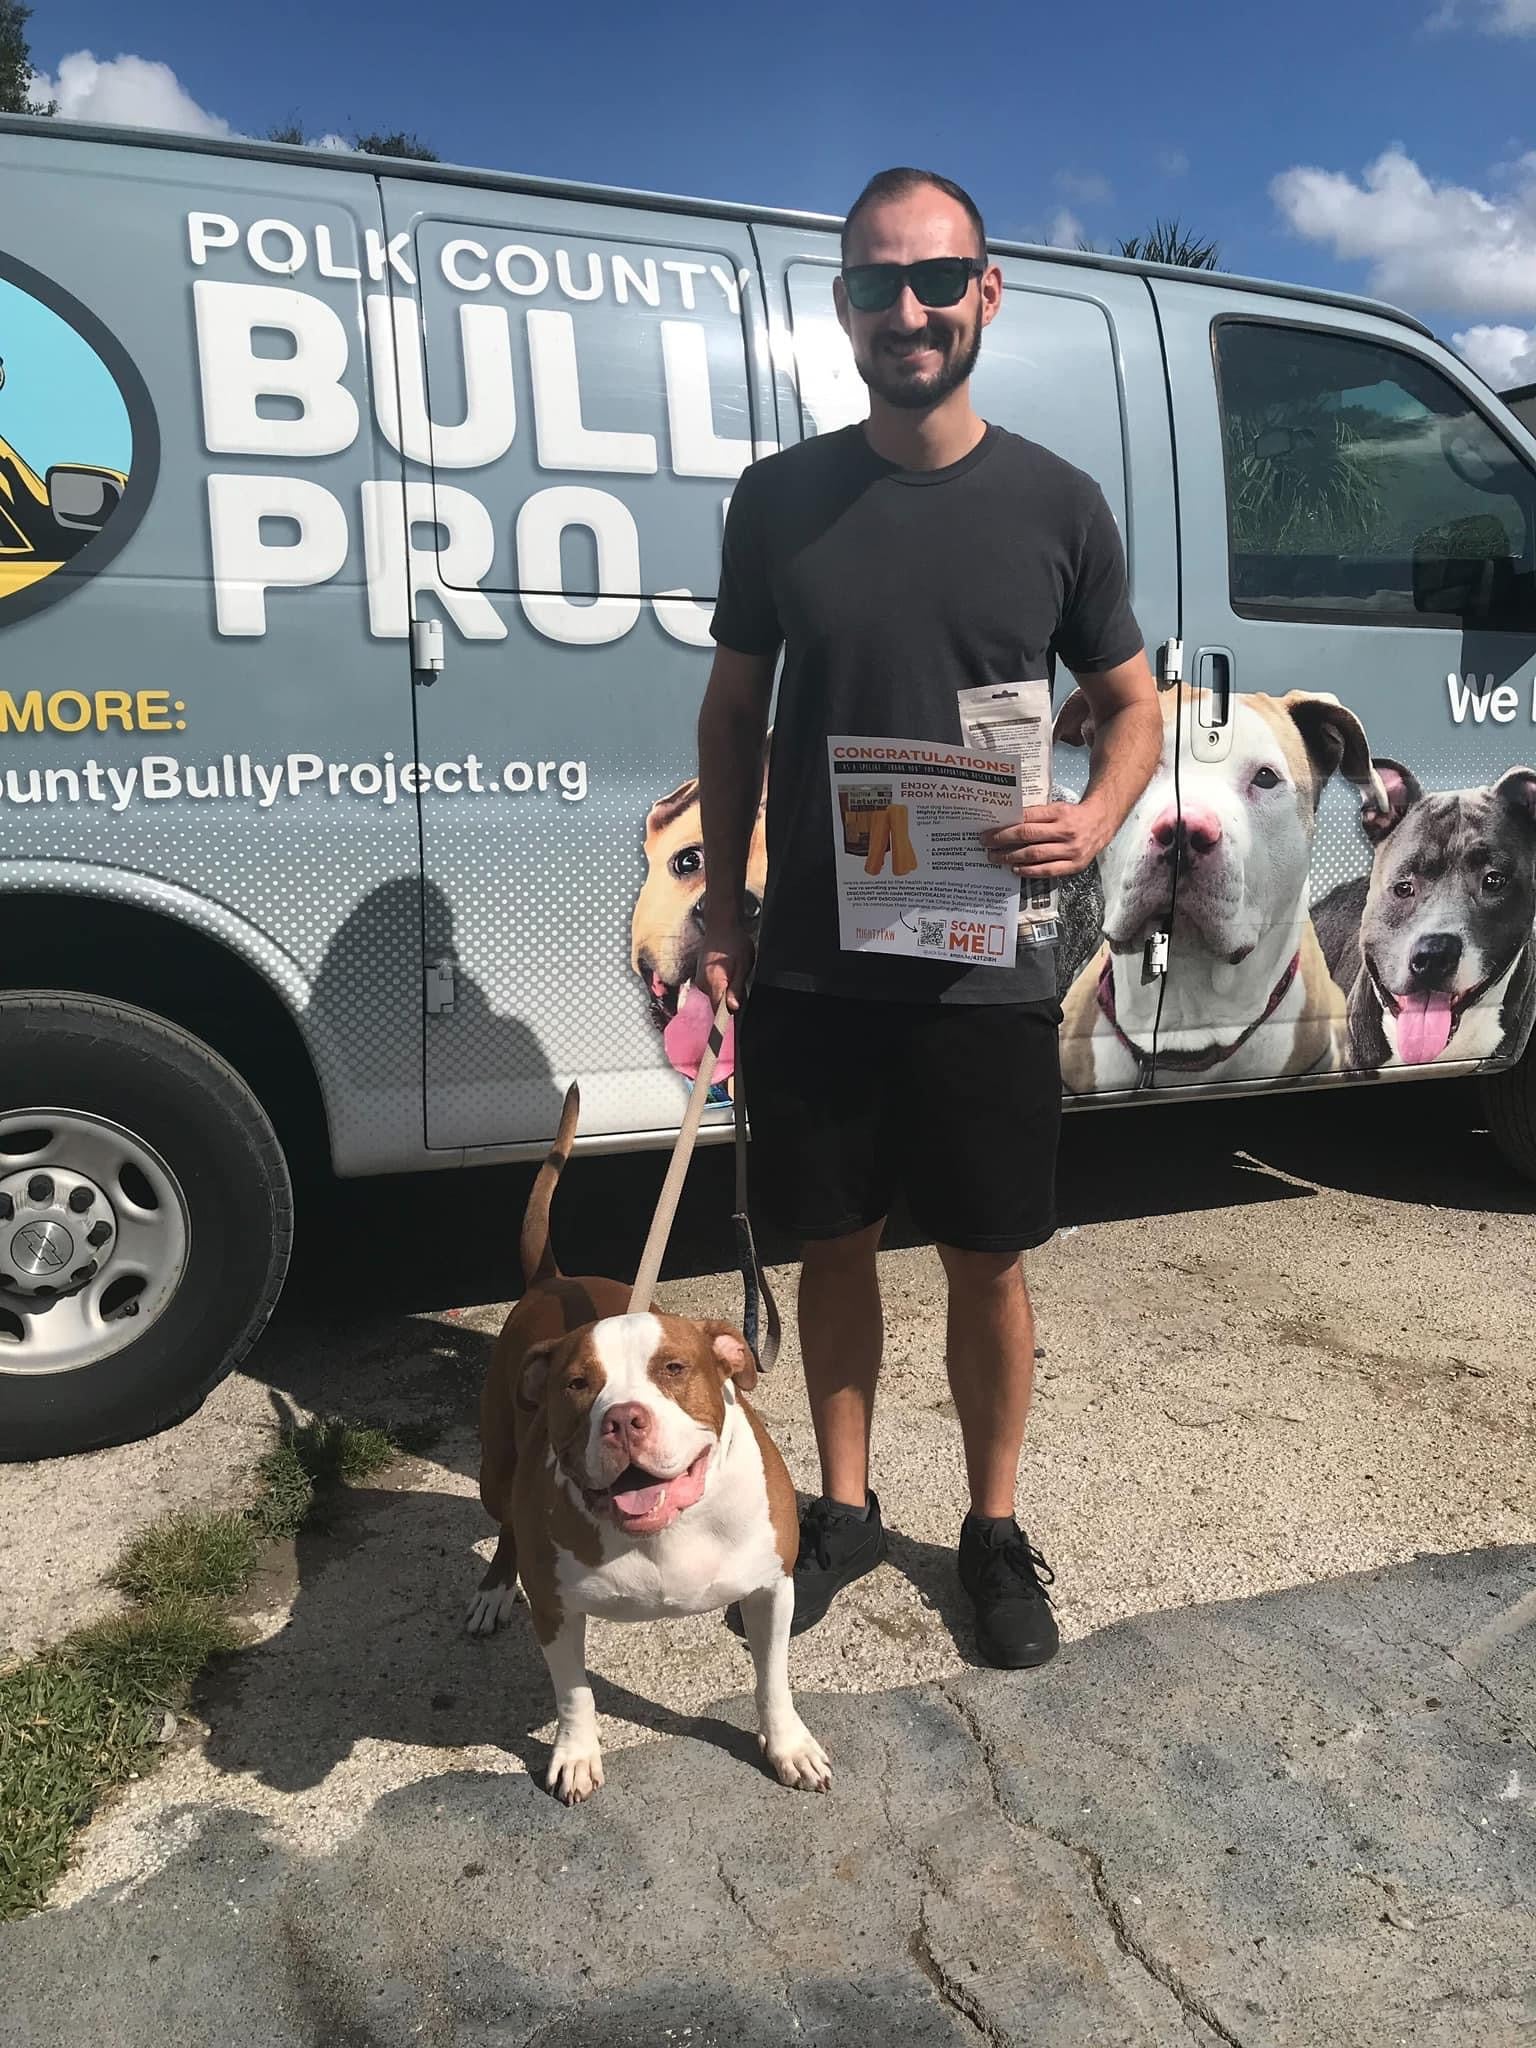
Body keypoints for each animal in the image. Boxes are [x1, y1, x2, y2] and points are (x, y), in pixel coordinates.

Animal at [468, 1081, 831, 1802]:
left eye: (674, 1368)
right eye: (579, 1383)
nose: (624, 1419)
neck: (669, 1529)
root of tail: (553, 1279)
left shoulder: (771, 1587)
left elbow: (772, 1677)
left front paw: (788, 1746)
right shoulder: (556, 1608)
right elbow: (574, 1693)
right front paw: (576, 1754)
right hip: (497, 1469)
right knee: (506, 1524)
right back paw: (495, 1588)